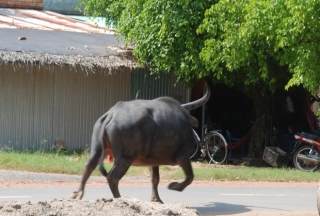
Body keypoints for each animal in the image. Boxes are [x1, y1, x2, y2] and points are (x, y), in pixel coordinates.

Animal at [70, 85, 210, 202]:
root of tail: (111, 114)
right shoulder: (183, 156)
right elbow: (190, 176)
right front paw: (174, 186)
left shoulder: (153, 161)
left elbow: (155, 179)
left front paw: (157, 200)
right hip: (126, 157)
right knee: (112, 177)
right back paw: (120, 199)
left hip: (97, 149)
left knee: (89, 166)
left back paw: (78, 194)